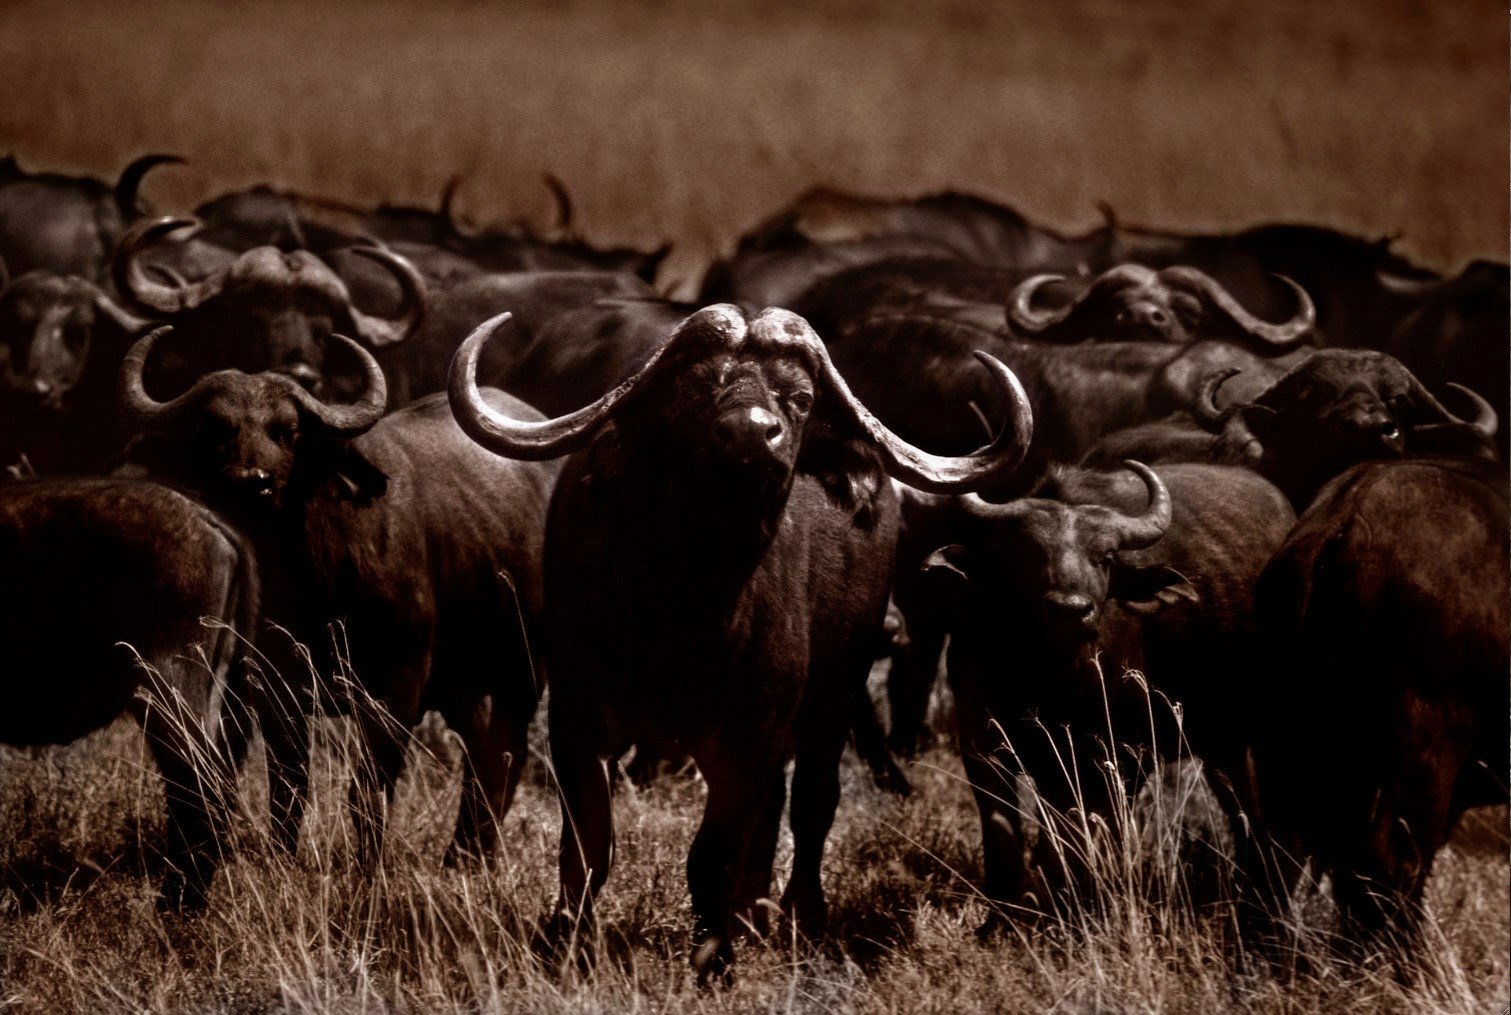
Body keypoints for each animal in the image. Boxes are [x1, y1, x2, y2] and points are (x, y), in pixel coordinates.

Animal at [449, 304, 1032, 981]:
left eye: (800, 398)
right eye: (696, 387)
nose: (752, 434)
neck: (683, 610)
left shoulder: (746, 736)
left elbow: (712, 854)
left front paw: (715, 958)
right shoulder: (578, 721)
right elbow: (590, 843)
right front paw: (565, 941)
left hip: (833, 694)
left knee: (812, 801)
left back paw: (798, 914)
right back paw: (754, 911)